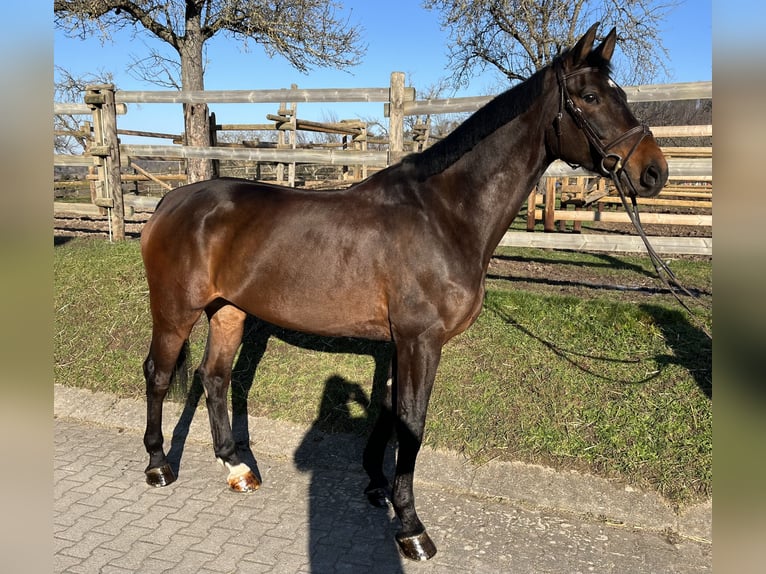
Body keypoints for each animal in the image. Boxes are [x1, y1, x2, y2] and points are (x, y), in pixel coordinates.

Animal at [141, 24, 668, 564]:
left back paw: (237, 467)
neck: (444, 215)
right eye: (590, 97)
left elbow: (390, 414)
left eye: (622, 96)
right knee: (158, 374)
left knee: (214, 378)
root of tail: (172, 200)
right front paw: (411, 527)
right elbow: (413, 424)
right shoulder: (421, 341)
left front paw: (378, 488)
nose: (654, 171)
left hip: (228, 311)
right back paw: (160, 464)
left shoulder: (399, 343)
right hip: (175, 310)